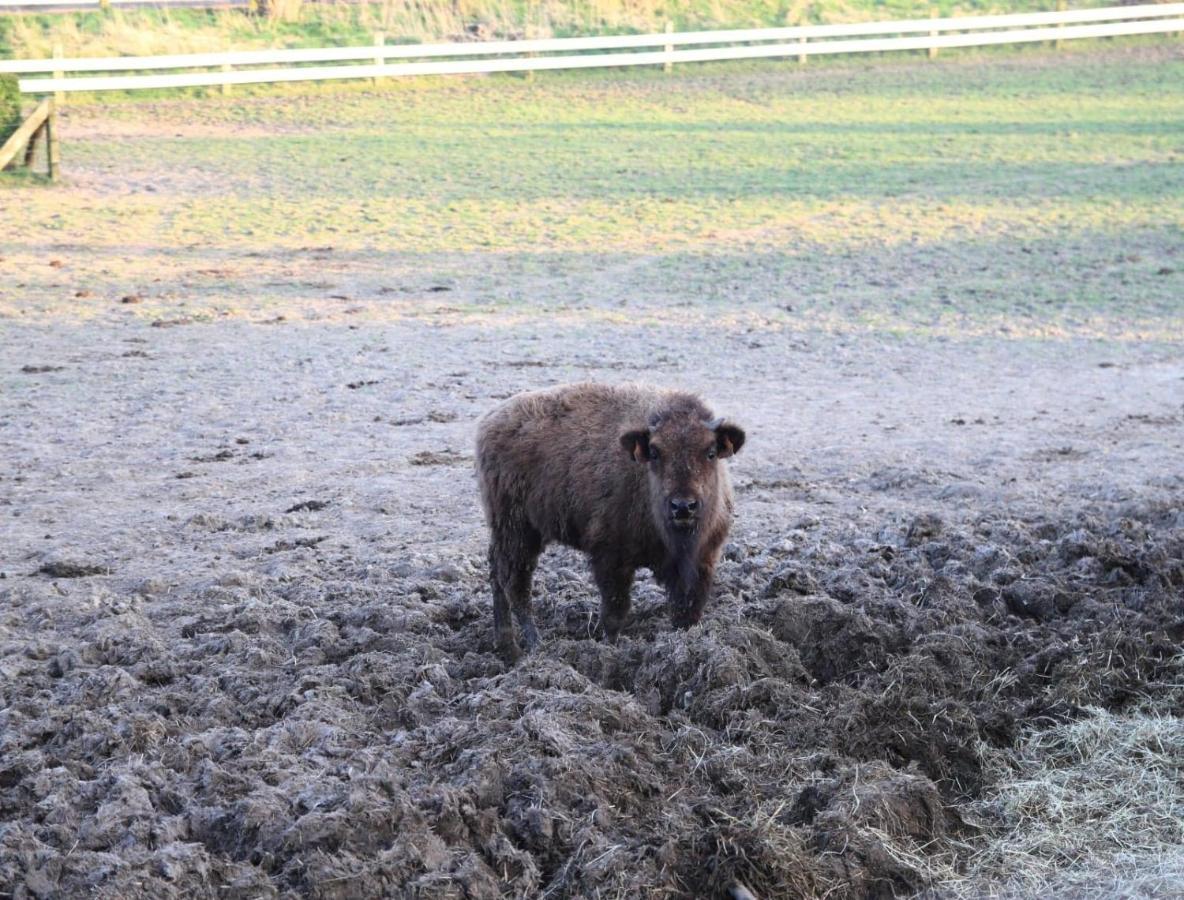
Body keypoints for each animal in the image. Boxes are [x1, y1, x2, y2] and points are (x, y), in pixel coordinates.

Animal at [475, 378, 743, 653]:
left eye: (710, 452)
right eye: (655, 452)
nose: (682, 506)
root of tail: (489, 422)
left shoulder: (702, 561)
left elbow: (687, 612)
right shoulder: (611, 559)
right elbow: (615, 612)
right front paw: (610, 650)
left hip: (510, 532)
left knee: (498, 574)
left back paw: (506, 644)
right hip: (518, 531)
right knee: (515, 584)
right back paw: (533, 645)